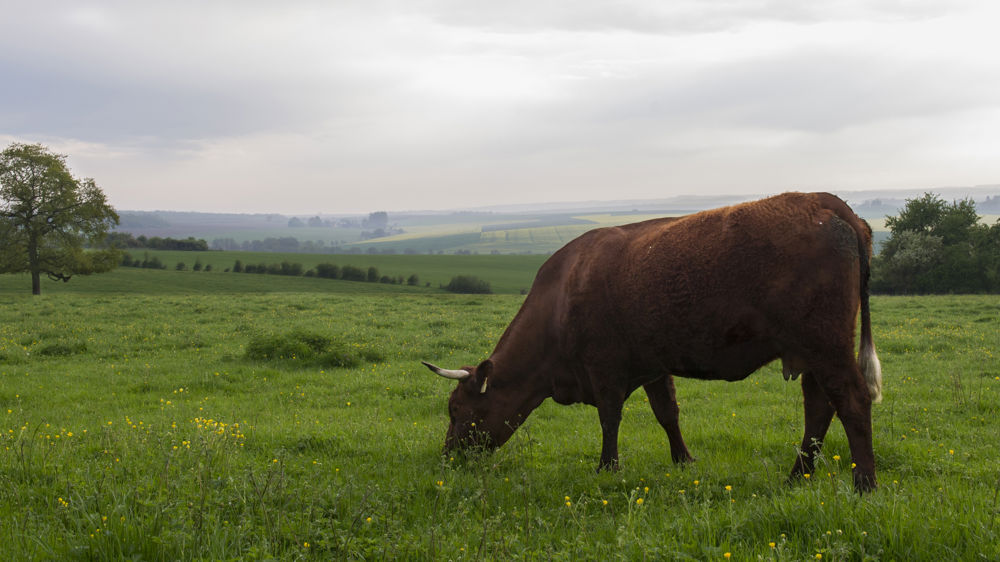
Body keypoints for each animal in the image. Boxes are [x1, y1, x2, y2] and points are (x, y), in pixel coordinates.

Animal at [423, 192, 883, 492]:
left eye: (456, 409)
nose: (446, 458)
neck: (561, 298)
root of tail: (824, 201)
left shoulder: (604, 367)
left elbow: (610, 418)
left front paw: (607, 468)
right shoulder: (653, 365)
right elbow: (668, 414)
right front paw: (684, 460)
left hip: (825, 344)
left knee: (851, 400)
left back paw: (864, 483)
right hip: (810, 352)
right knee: (819, 408)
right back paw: (797, 476)